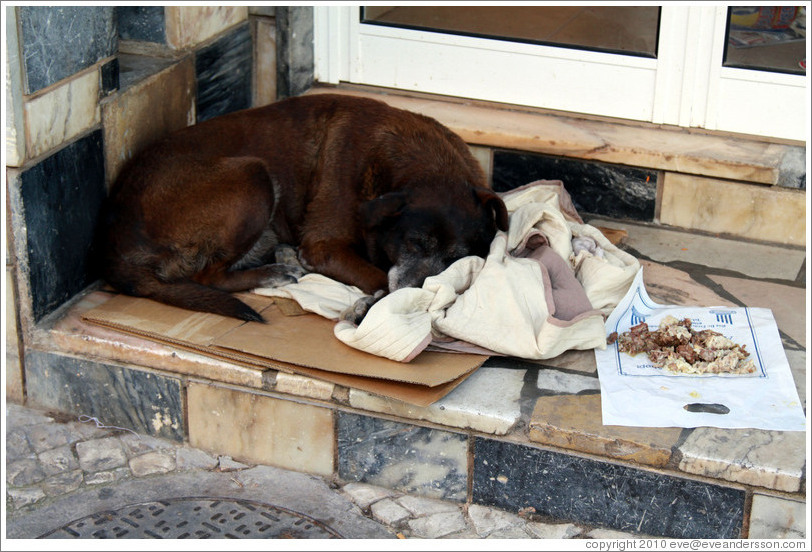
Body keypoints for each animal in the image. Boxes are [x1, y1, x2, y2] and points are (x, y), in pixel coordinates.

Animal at [100, 92, 508, 322]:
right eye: (414, 243)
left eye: (455, 259)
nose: (421, 294)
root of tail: (112, 244)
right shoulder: (324, 246)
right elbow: (378, 276)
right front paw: (371, 303)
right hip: (253, 176)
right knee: (206, 276)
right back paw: (272, 273)